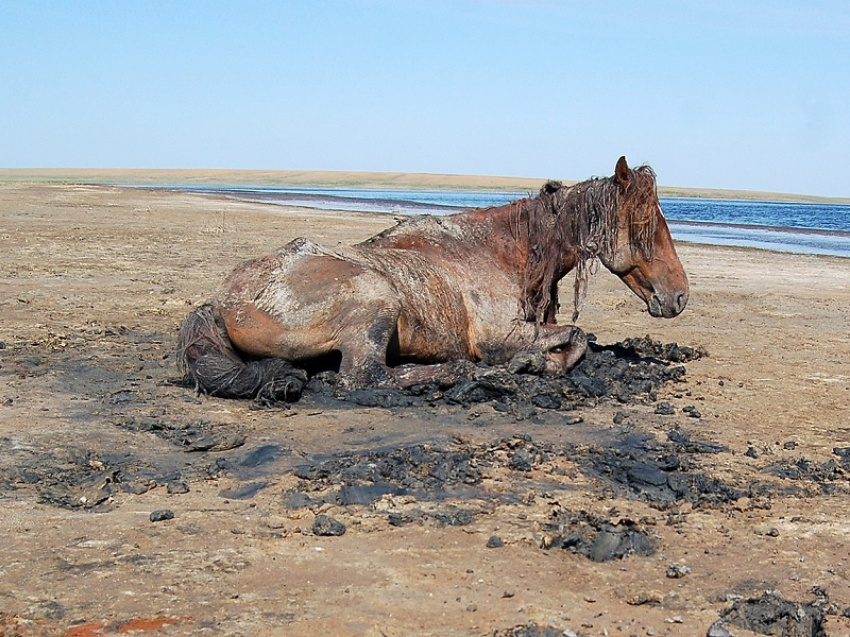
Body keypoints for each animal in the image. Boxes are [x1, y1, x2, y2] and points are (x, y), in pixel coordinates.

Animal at [179, 157, 688, 400]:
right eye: (645, 227)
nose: (680, 296)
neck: (500, 252)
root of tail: (220, 301)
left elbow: (582, 338)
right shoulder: (500, 336)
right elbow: (578, 338)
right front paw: (530, 364)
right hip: (377, 298)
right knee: (363, 377)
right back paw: (463, 372)